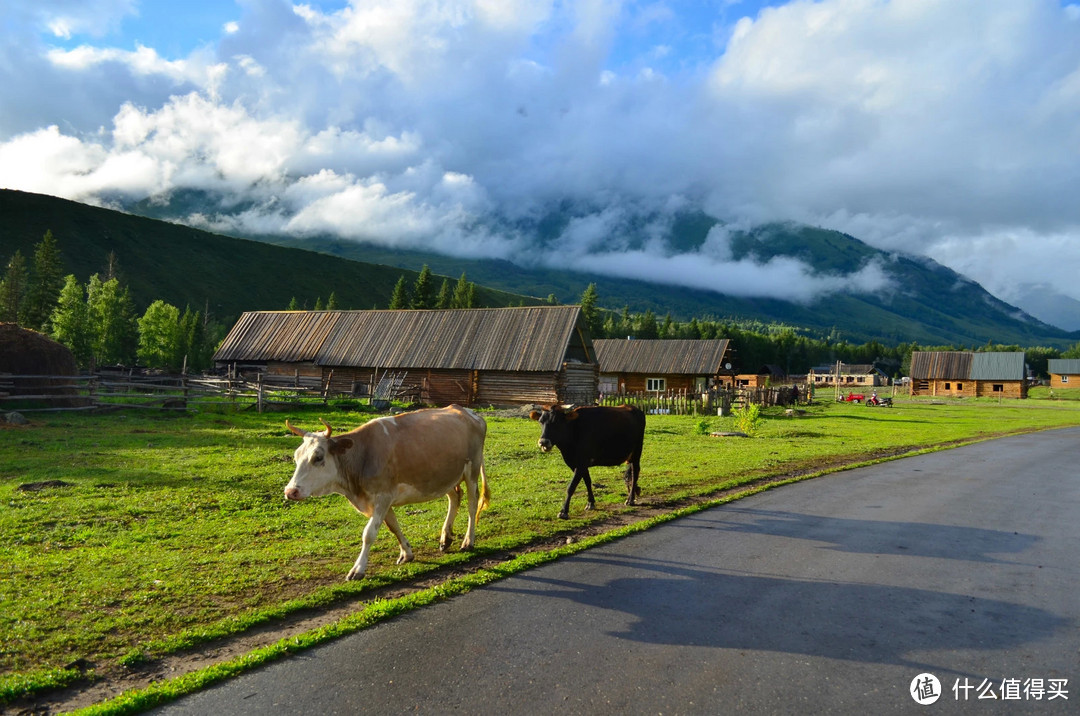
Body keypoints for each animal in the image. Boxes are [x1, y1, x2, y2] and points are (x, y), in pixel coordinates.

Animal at [285, 406, 492, 578]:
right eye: (296, 456)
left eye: (318, 457)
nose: (290, 491)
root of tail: (468, 412)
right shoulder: (382, 500)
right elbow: (393, 526)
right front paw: (407, 553)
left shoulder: (382, 496)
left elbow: (368, 533)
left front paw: (358, 569)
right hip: (445, 476)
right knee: (455, 497)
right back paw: (445, 538)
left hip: (472, 470)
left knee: (472, 505)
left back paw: (468, 541)